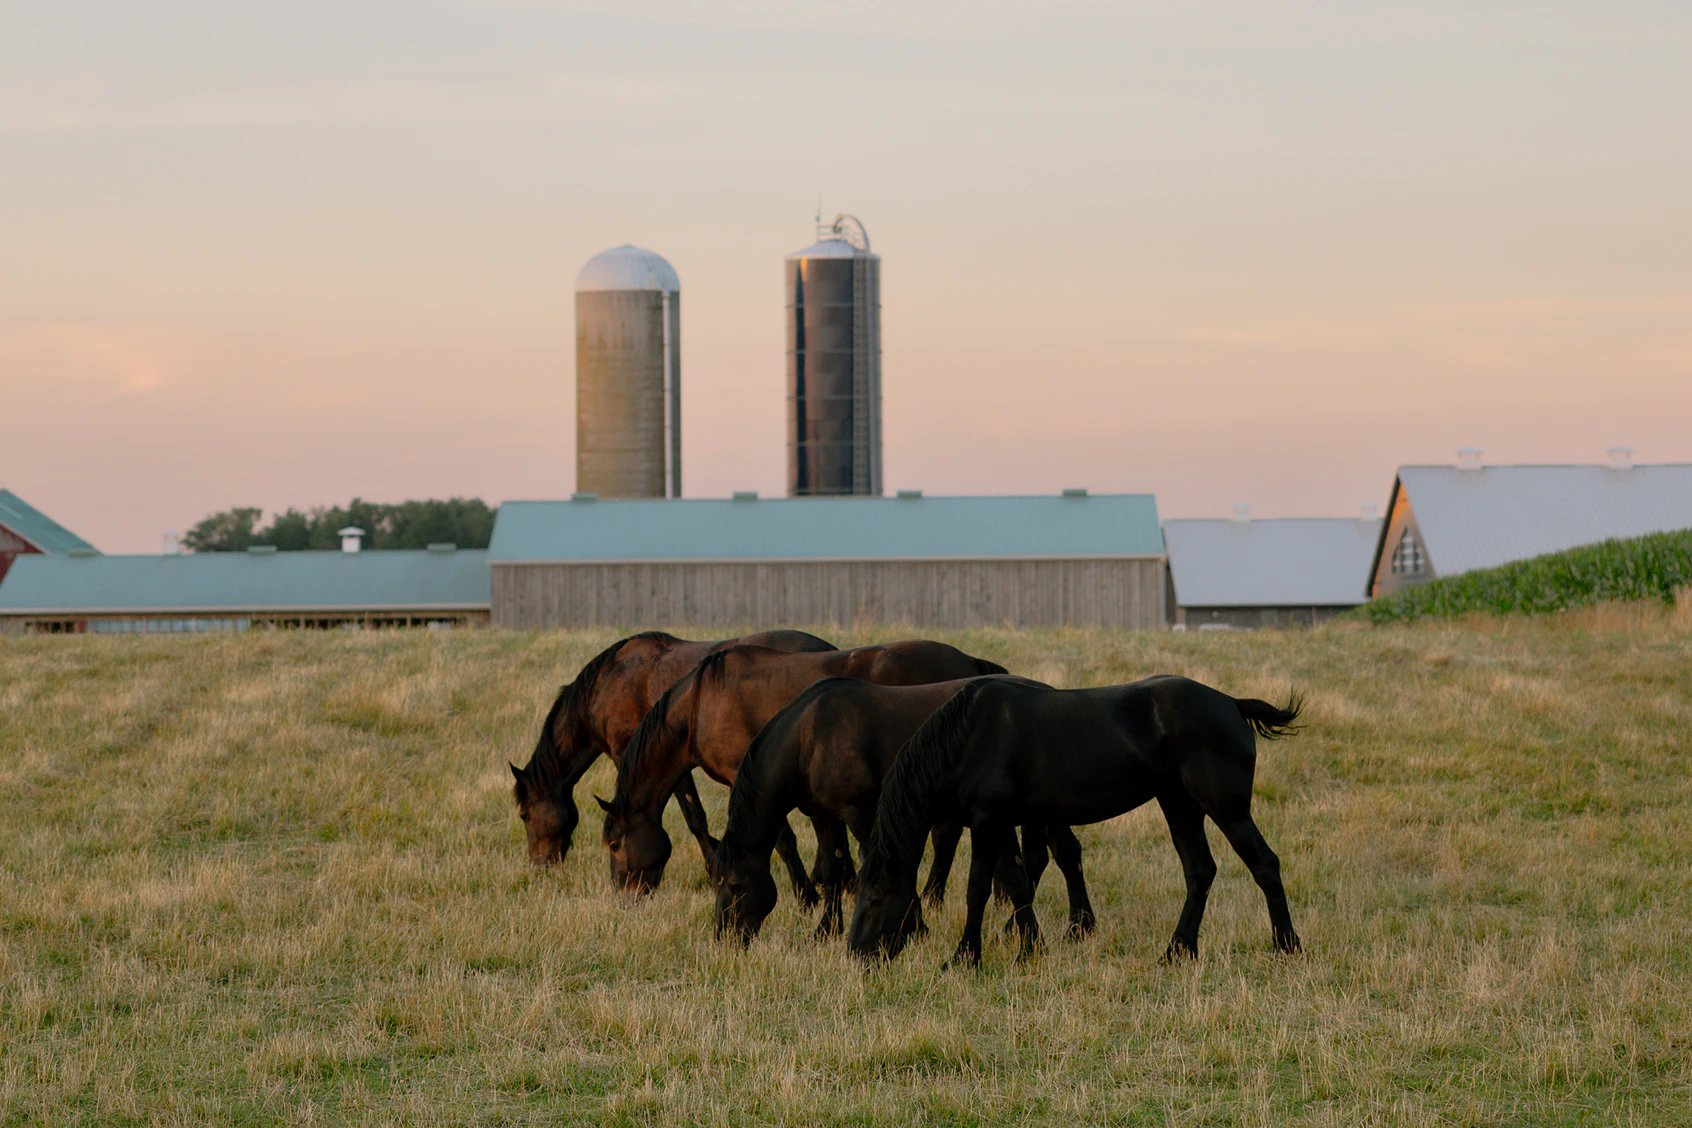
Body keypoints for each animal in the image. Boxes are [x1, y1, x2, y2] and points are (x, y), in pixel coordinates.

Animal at [509, 629, 835, 897]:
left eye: (524, 815)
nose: (539, 867)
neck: (610, 682)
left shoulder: (640, 756)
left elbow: (694, 817)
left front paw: (712, 869)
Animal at [598, 640, 1008, 894]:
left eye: (615, 843)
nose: (624, 896)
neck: (702, 702)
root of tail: (972, 663)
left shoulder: (744, 774)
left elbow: (782, 837)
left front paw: (806, 894)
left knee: (946, 834)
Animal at [713, 675, 1097, 944]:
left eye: (734, 885)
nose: (724, 938)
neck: (811, 737)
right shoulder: (826, 817)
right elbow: (834, 870)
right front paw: (825, 930)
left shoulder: (861, 813)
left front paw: (915, 926)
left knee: (1065, 853)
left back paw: (1080, 926)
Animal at [847, 675, 1303, 968]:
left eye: (875, 899)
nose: (856, 954)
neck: (967, 738)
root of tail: (1232, 704)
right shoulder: (1004, 823)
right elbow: (1017, 884)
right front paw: (1030, 949)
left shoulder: (987, 821)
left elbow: (978, 888)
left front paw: (964, 957)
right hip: (1178, 804)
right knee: (1199, 871)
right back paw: (1177, 951)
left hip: (1226, 809)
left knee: (1264, 864)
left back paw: (1286, 946)